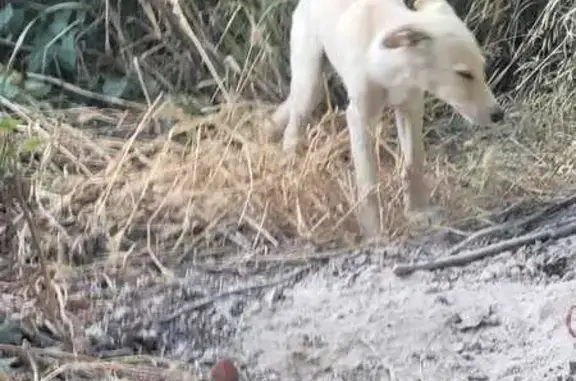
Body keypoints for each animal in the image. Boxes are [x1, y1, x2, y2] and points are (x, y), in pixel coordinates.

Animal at [268, 0, 502, 236]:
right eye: (464, 74)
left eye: (481, 68)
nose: (499, 115)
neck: (390, 68)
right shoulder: (360, 118)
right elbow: (368, 182)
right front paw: (374, 231)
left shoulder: (411, 109)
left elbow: (413, 164)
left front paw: (417, 212)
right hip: (309, 83)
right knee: (292, 130)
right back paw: (290, 169)